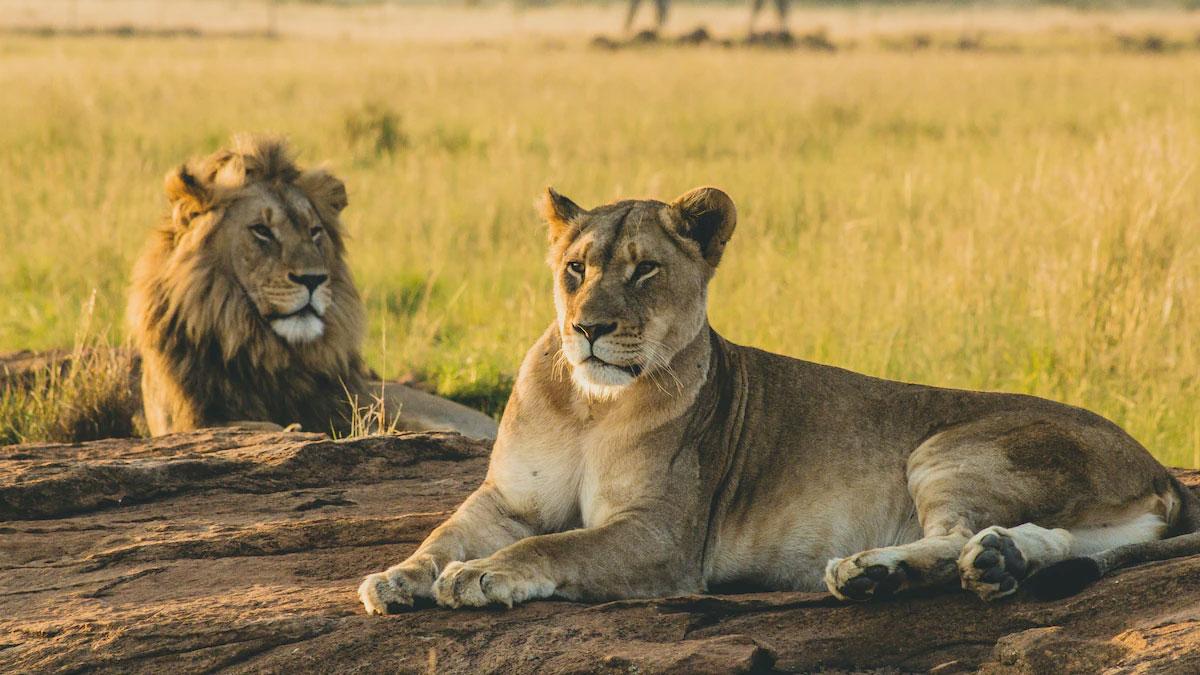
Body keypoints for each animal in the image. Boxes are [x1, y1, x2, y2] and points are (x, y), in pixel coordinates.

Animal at [357, 183, 1200, 610]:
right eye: (575, 268)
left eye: (645, 270)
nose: (588, 328)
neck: (590, 405)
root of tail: (1161, 469)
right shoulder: (507, 497)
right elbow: (446, 532)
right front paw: (398, 576)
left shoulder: (662, 536)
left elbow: (554, 546)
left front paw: (478, 576)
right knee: (1044, 540)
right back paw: (989, 562)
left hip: (947, 446)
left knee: (957, 533)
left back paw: (874, 570)